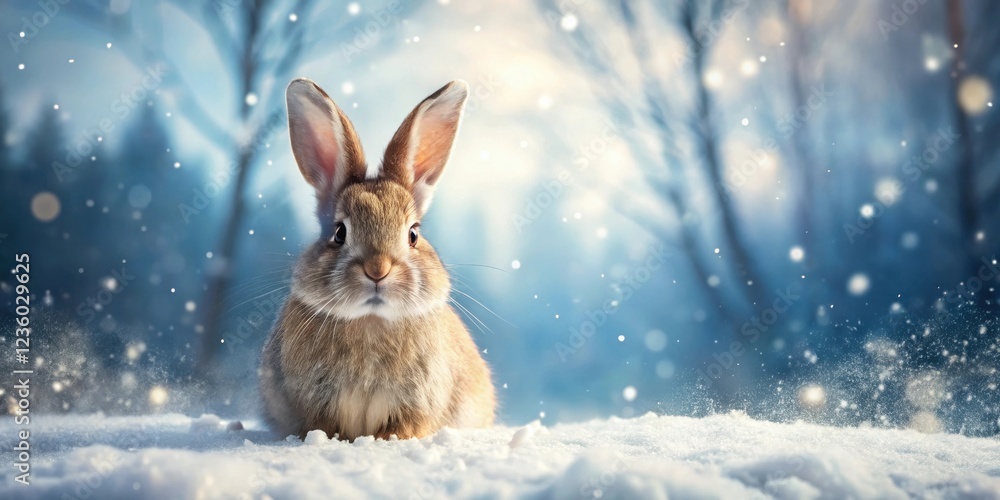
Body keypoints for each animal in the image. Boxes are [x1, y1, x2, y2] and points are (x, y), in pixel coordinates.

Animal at [258, 78, 495, 441]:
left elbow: (405, 427)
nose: (377, 270)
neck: (371, 320)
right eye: (339, 232)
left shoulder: (416, 404)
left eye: (413, 234)